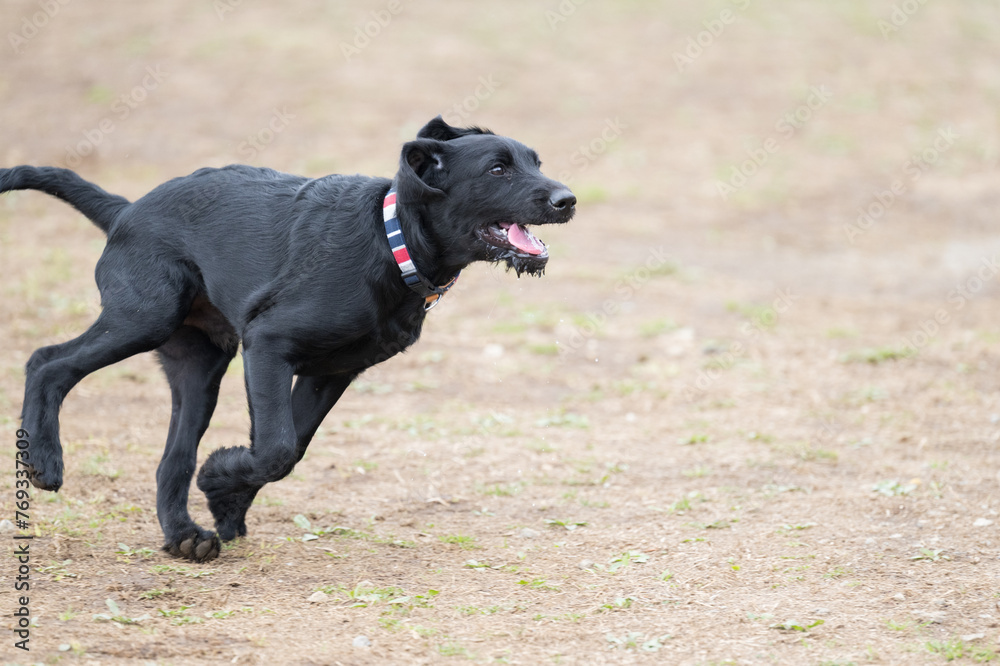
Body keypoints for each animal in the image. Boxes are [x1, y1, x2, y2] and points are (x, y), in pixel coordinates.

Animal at [1, 115, 580, 560]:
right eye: (497, 168)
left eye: (536, 162)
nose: (568, 199)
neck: (390, 240)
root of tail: (124, 209)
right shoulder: (268, 346)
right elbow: (276, 447)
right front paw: (220, 477)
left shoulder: (331, 372)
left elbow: (290, 449)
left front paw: (225, 498)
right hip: (144, 317)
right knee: (47, 361)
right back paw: (45, 460)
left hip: (200, 367)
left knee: (172, 458)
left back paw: (184, 536)